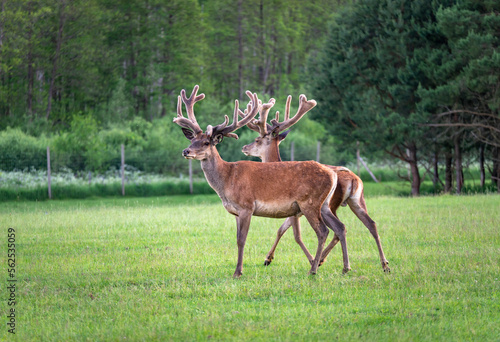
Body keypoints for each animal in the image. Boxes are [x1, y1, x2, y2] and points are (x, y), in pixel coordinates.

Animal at [174, 85, 350, 278]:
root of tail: (332, 173)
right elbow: (237, 238)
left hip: (309, 202)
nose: (186, 151)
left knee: (323, 231)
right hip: (323, 204)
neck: (227, 180)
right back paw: (345, 267)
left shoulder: (246, 206)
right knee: (340, 227)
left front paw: (238, 272)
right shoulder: (236, 212)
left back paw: (314, 269)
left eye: (206, 142)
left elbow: (242, 239)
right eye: (192, 139)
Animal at [242, 94, 390, 272]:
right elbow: (281, 230)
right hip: (357, 201)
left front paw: (304, 259)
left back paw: (322, 261)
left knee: (336, 230)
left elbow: (293, 235)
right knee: (369, 224)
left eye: (257, 140)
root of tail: (354, 179)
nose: (245, 147)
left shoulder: (294, 209)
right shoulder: (295, 210)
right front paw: (268, 258)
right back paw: (383, 264)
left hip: (329, 204)